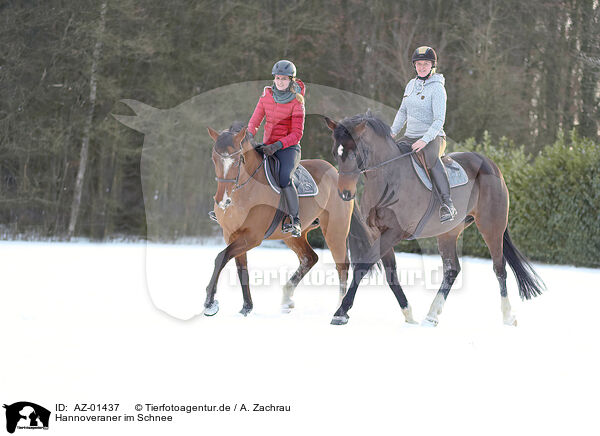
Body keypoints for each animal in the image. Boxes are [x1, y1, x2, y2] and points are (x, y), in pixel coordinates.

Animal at [204, 122, 356, 316]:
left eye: (238, 161)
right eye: (214, 159)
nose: (222, 200)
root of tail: (335, 172)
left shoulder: (252, 237)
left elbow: (221, 258)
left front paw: (210, 303)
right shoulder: (232, 235)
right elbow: (241, 268)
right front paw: (246, 307)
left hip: (335, 231)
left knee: (342, 266)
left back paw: (339, 309)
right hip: (293, 236)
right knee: (309, 258)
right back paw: (287, 299)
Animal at [326, 112, 548, 328]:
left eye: (355, 154)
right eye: (335, 153)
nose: (345, 194)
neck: (389, 178)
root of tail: (491, 165)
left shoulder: (395, 231)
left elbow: (363, 266)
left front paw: (341, 312)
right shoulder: (377, 232)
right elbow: (390, 274)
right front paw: (408, 313)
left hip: (491, 227)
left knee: (499, 268)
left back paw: (508, 316)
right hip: (448, 233)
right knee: (452, 270)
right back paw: (432, 315)